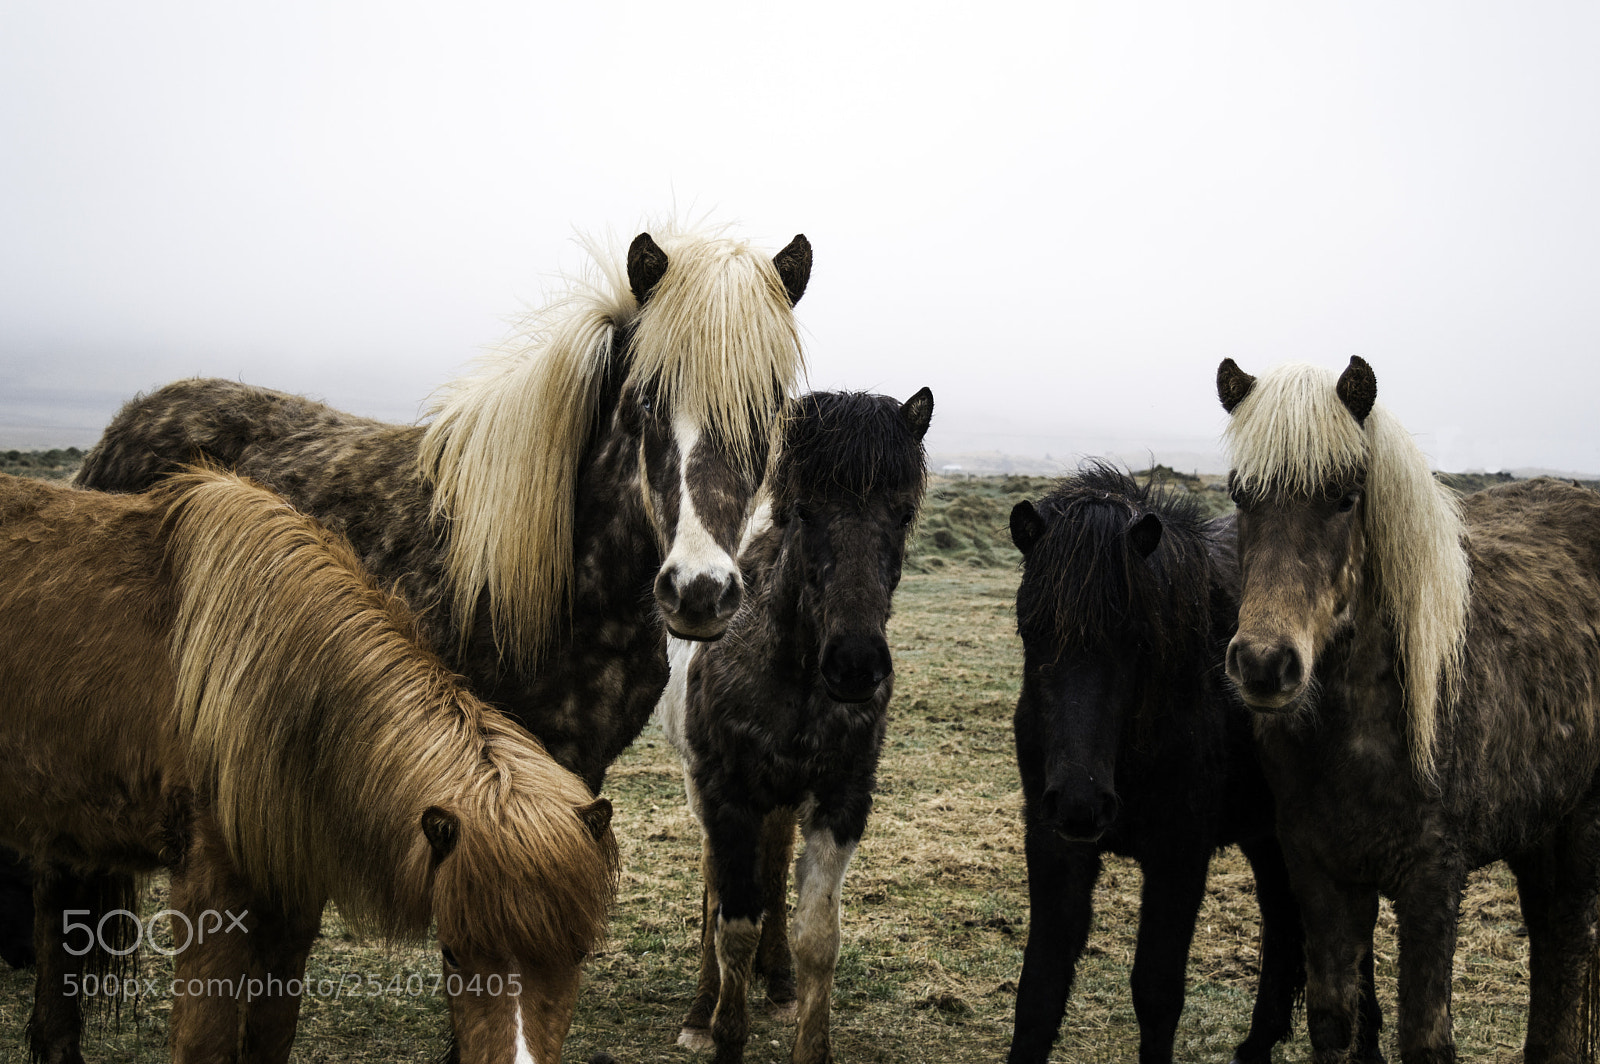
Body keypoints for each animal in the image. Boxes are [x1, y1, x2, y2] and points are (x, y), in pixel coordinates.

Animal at [0, 470, 618, 1064]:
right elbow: (205, 1042)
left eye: (580, 951)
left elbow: (271, 1035)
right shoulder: (209, 888)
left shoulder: (293, 896)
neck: (269, 680)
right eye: (450, 952)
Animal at [657, 388, 933, 1064]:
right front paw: (723, 1031)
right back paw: (701, 1010)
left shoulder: (843, 799)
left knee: (776, 859)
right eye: (804, 512)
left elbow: (818, 936)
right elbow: (732, 924)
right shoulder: (726, 794)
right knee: (716, 883)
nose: (856, 665)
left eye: (902, 512)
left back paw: (778, 980)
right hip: (705, 788)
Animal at [1005, 462, 1382, 1064]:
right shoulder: (1054, 847)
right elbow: (1040, 989)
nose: (1081, 804)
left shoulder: (1178, 856)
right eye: (1031, 630)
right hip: (1267, 833)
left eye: (1137, 639)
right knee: (1284, 918)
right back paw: (1258, 1044)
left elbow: (1156, 990)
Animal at [1217, 355, 1600, 1064]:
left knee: (1568, 939)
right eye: (1239, 495)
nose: (1263, 664)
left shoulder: (1432, 883)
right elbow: (1335, 1021)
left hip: (1582, 819)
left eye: (1345, 497)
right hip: (1536, 825)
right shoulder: (1320, 875)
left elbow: (1425, 1037)